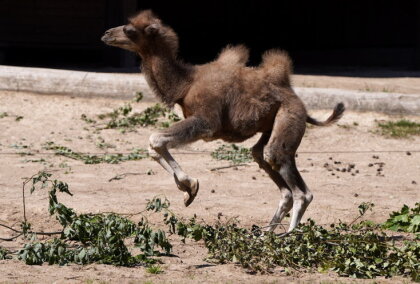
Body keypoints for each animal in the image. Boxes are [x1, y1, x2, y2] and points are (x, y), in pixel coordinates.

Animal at [102, 11, 344, 233]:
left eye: (129, 30)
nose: (106, 34)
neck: (186, 84)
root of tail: (297, 100)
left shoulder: (206, 122)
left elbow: (156, 139)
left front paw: (190, 185)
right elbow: (154, 146)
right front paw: (188, 190)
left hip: (288, 117)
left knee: (297, 186)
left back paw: (287, 237)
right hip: (271, 125)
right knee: (267, 163)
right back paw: (266, 234)